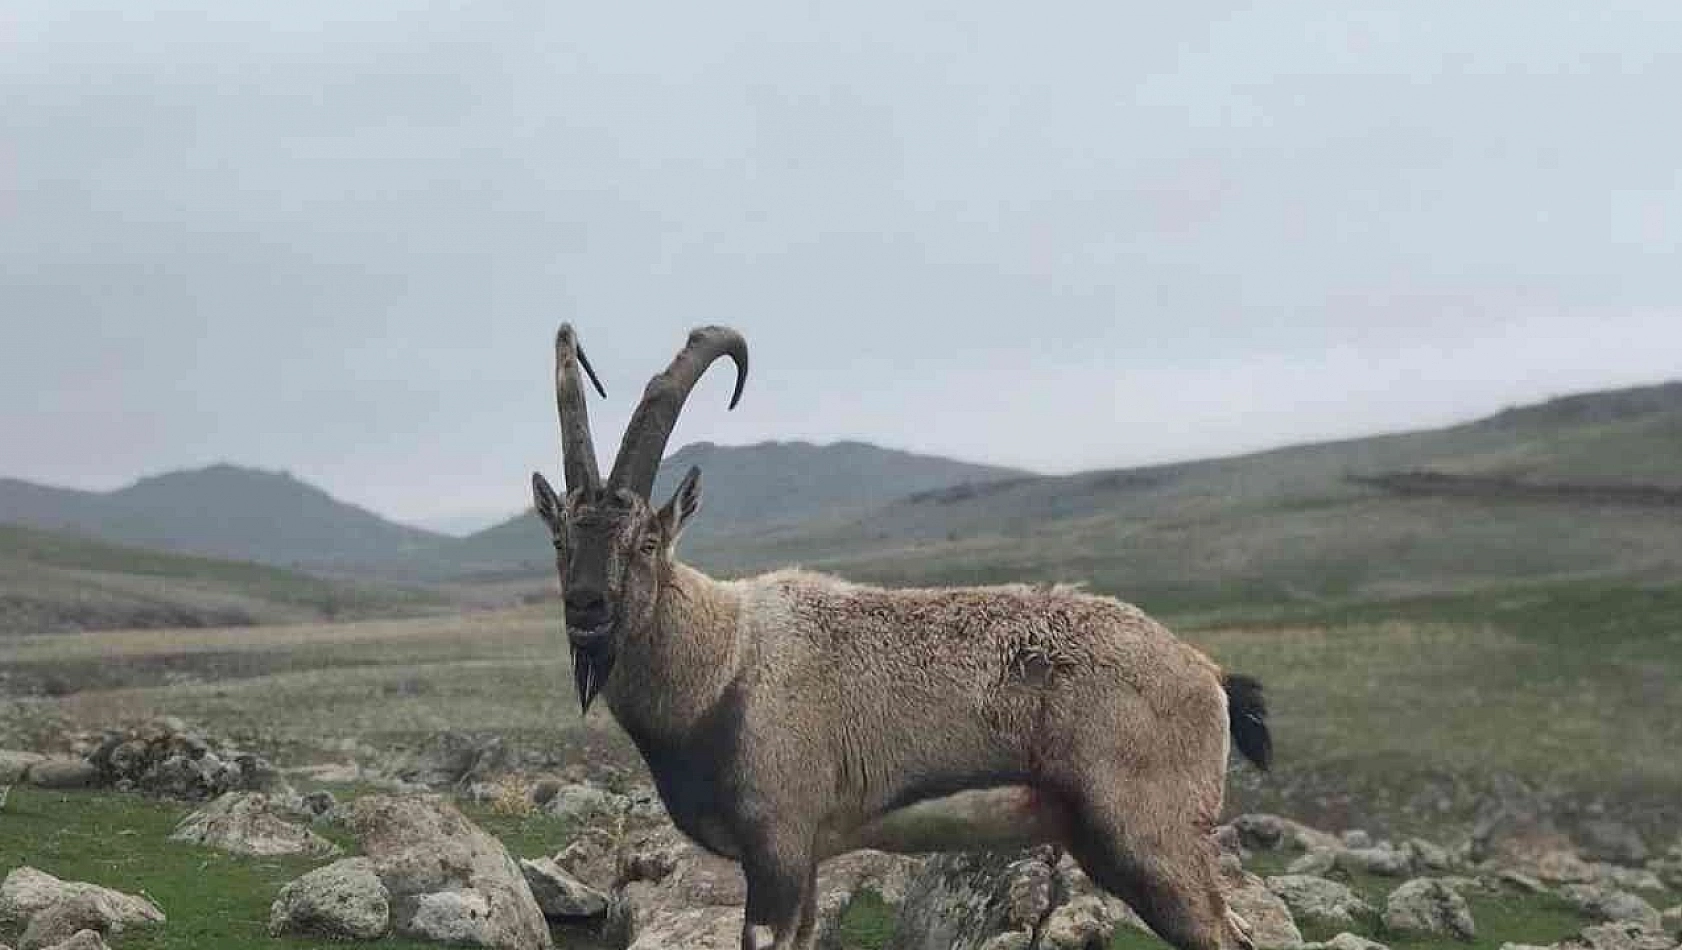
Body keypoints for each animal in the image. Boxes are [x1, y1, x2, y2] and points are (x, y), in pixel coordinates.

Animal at [531, 326, 1264, 948]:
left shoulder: (778, 850)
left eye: (645, 541)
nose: (587, 607)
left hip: (1152, 844)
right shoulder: (809, 859)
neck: (723, 664)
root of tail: (1210, 675)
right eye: (560, 538)